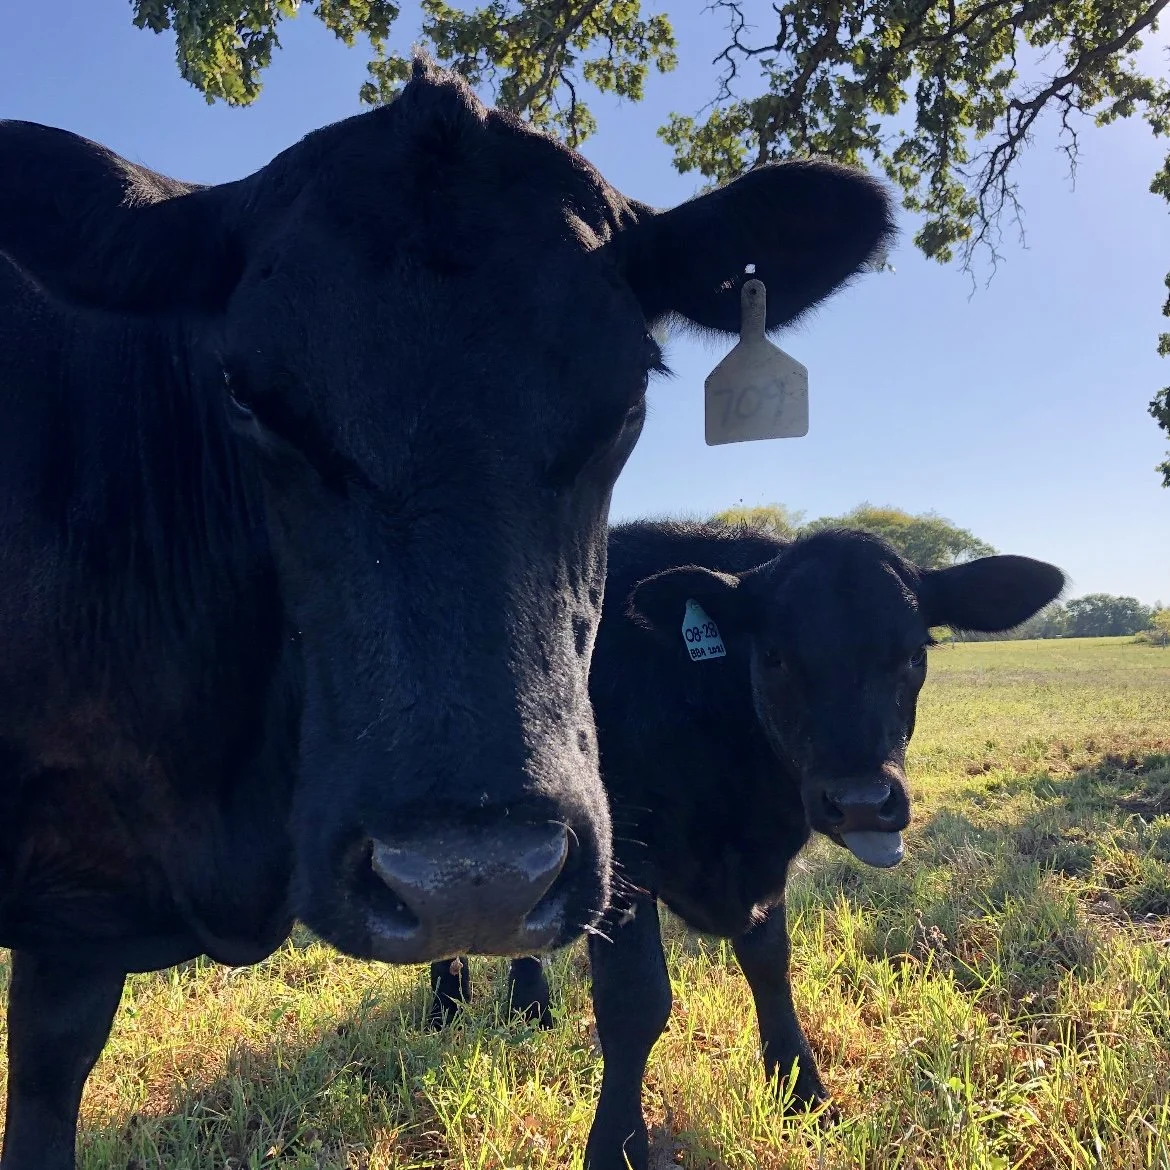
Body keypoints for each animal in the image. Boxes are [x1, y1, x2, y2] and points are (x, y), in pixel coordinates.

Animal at [429, 520, 1065, 1170]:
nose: (862, 800)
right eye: (775, 654)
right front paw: (617, 1146)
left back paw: (528, 1005)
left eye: (915, 653)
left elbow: (770, 967)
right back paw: (446, 1007)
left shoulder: (766, 868)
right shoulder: (625, 859)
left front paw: (804, 1095)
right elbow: (636, 1001)